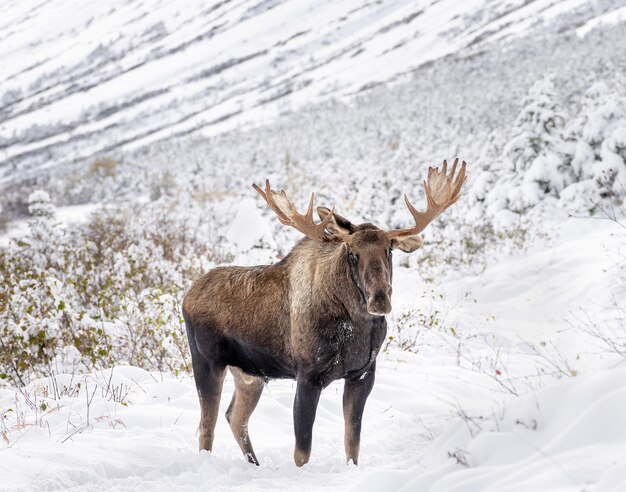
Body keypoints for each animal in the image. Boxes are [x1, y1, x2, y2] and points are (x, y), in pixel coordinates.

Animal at [180, 160, 464, 466]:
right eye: (352, 252)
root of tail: (187, 296)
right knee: (206, 428)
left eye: (389, 250)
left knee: (235, 417)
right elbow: (302, 451)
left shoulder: (362, 374)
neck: (358, 328)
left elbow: (352, 442)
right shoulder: (308, 376)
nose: (380, 299)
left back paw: (255, 464)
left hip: (250, 374)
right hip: (207, 362)